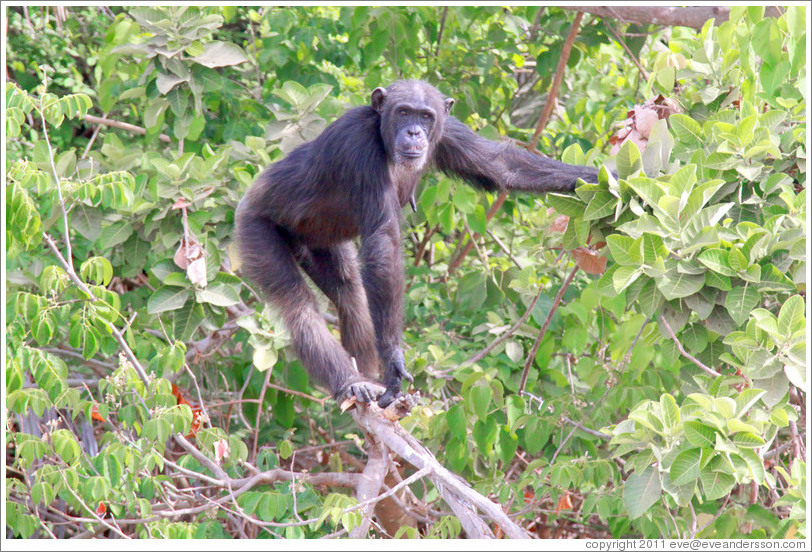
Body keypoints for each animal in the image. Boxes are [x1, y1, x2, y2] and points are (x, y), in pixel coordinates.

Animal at [232, 82, 600, 410]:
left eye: (425, 116)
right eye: (403, 112)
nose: (413, 132)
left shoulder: (449, 130)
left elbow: (503, 166)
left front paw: (600, 178)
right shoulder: (357, 145)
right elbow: (383, 239)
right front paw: (394, 361)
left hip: (319, 243)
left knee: (349, 292)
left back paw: (367, 379)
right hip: (255, 228)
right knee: (298, 305)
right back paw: (349, 382)